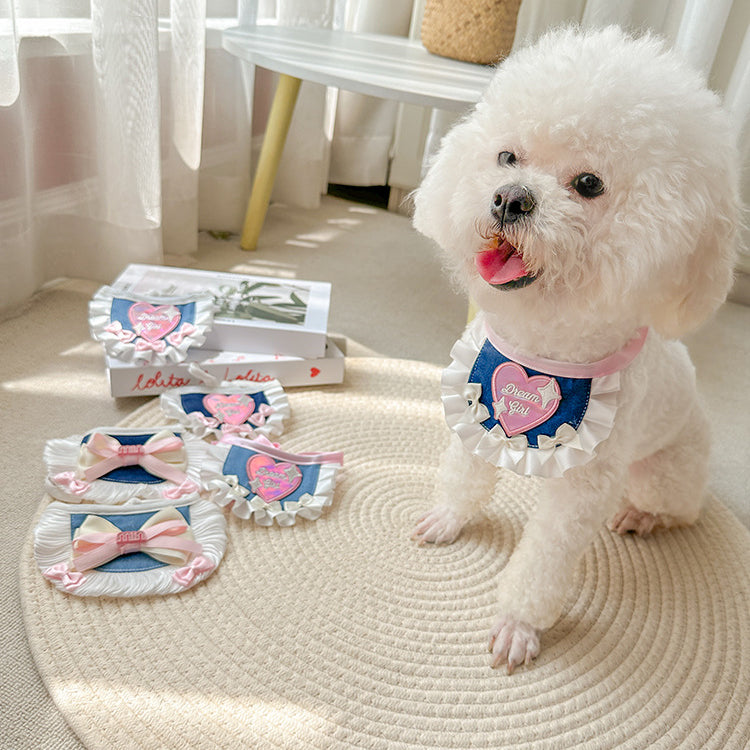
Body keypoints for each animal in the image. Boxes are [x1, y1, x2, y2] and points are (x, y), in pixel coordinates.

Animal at [412, 27, 740, 676]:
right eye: (507, 158)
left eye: (589, 184)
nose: (509, 199)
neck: (546, 345)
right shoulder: (477, 407)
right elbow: (464, 476)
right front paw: (449, 518)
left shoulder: (581, 489)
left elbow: (544, 561)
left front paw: (518, 625)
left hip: (663, 474)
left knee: (680, 510)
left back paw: (641, 516)